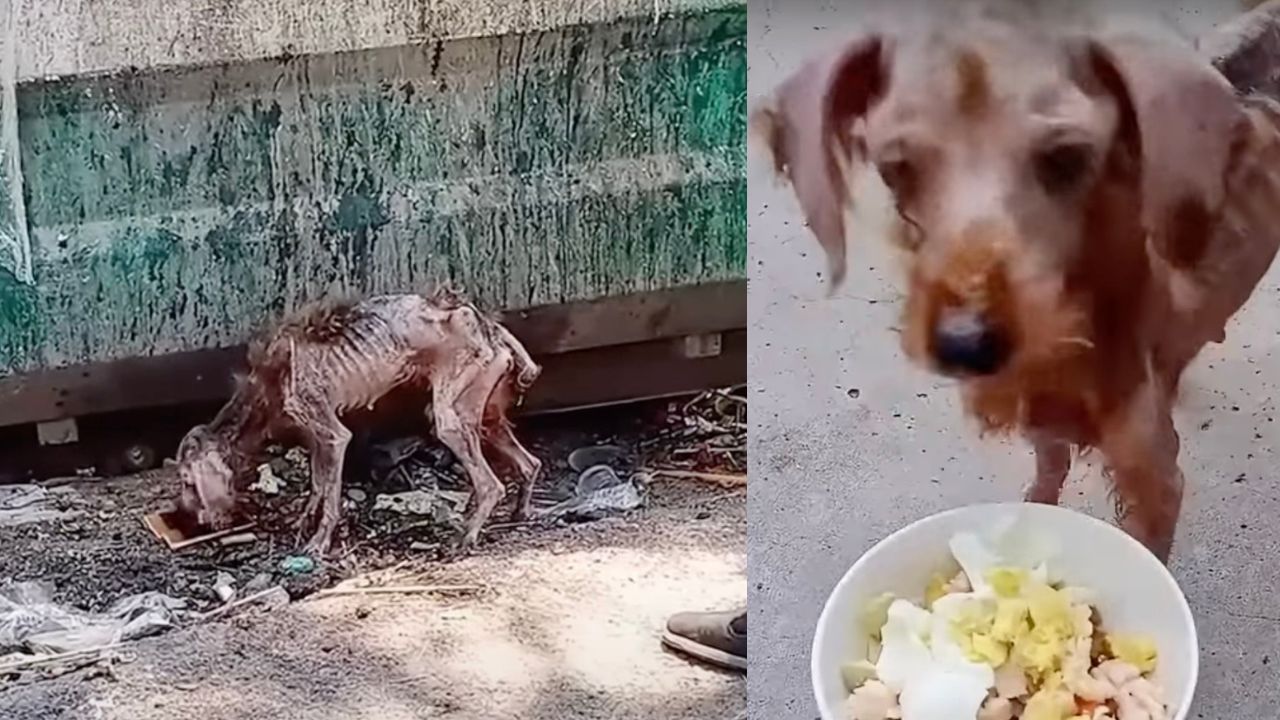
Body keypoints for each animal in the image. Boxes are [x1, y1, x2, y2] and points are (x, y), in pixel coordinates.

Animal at [752, 4, 1280, 561]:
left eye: (1067, 157)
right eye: (895, 168)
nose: (966, 345)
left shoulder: (1155, 482)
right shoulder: (1046, 432)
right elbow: (1044, 488)